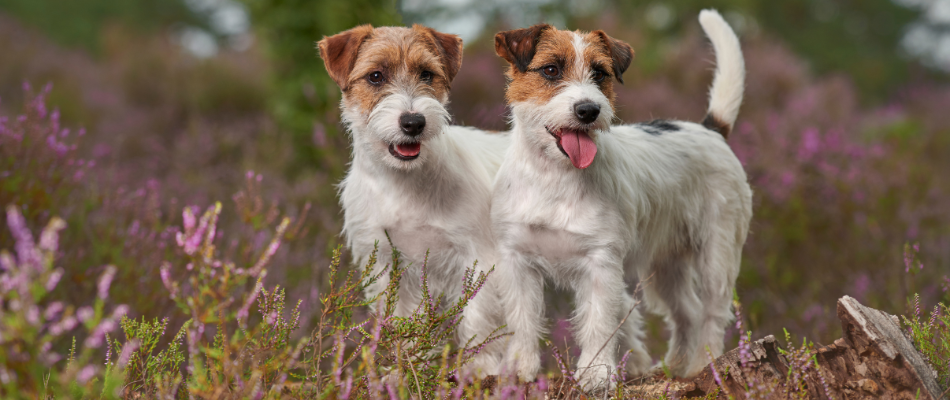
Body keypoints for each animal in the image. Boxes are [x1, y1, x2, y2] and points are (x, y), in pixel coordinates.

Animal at [318, 24, 512, 376]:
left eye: (427, 74)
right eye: (376, 76)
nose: (413, 122)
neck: (404, 183)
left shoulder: (478, 258)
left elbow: (478, 317)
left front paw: (479, 369)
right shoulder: (386, 264)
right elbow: (399, 321)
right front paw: (404, 367)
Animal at [472, 10, 756, 394]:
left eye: (600, 74)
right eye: (551, 70)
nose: (588, 110)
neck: (554, 176)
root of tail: (710, 130)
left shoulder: (600, 265)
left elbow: (597, 323)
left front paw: (594, 374)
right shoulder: (517, 262)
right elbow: (524, 320)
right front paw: (518, 370)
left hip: (716, 256)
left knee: (712, 312)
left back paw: (703, 364)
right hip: (666, 268)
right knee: (688, 312)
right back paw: (675, 366)